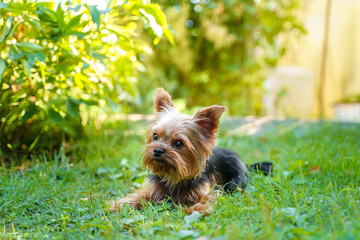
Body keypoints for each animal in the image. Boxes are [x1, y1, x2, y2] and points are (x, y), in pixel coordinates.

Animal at [108, 87, 272, 214]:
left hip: (236, 180)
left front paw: (194, 209)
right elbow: (138, 196)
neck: (173, 176)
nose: (157, 150)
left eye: (178, 143)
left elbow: (209, 200)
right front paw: (117, 205)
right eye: (155, 136)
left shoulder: (209, 192)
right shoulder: (151, 188)